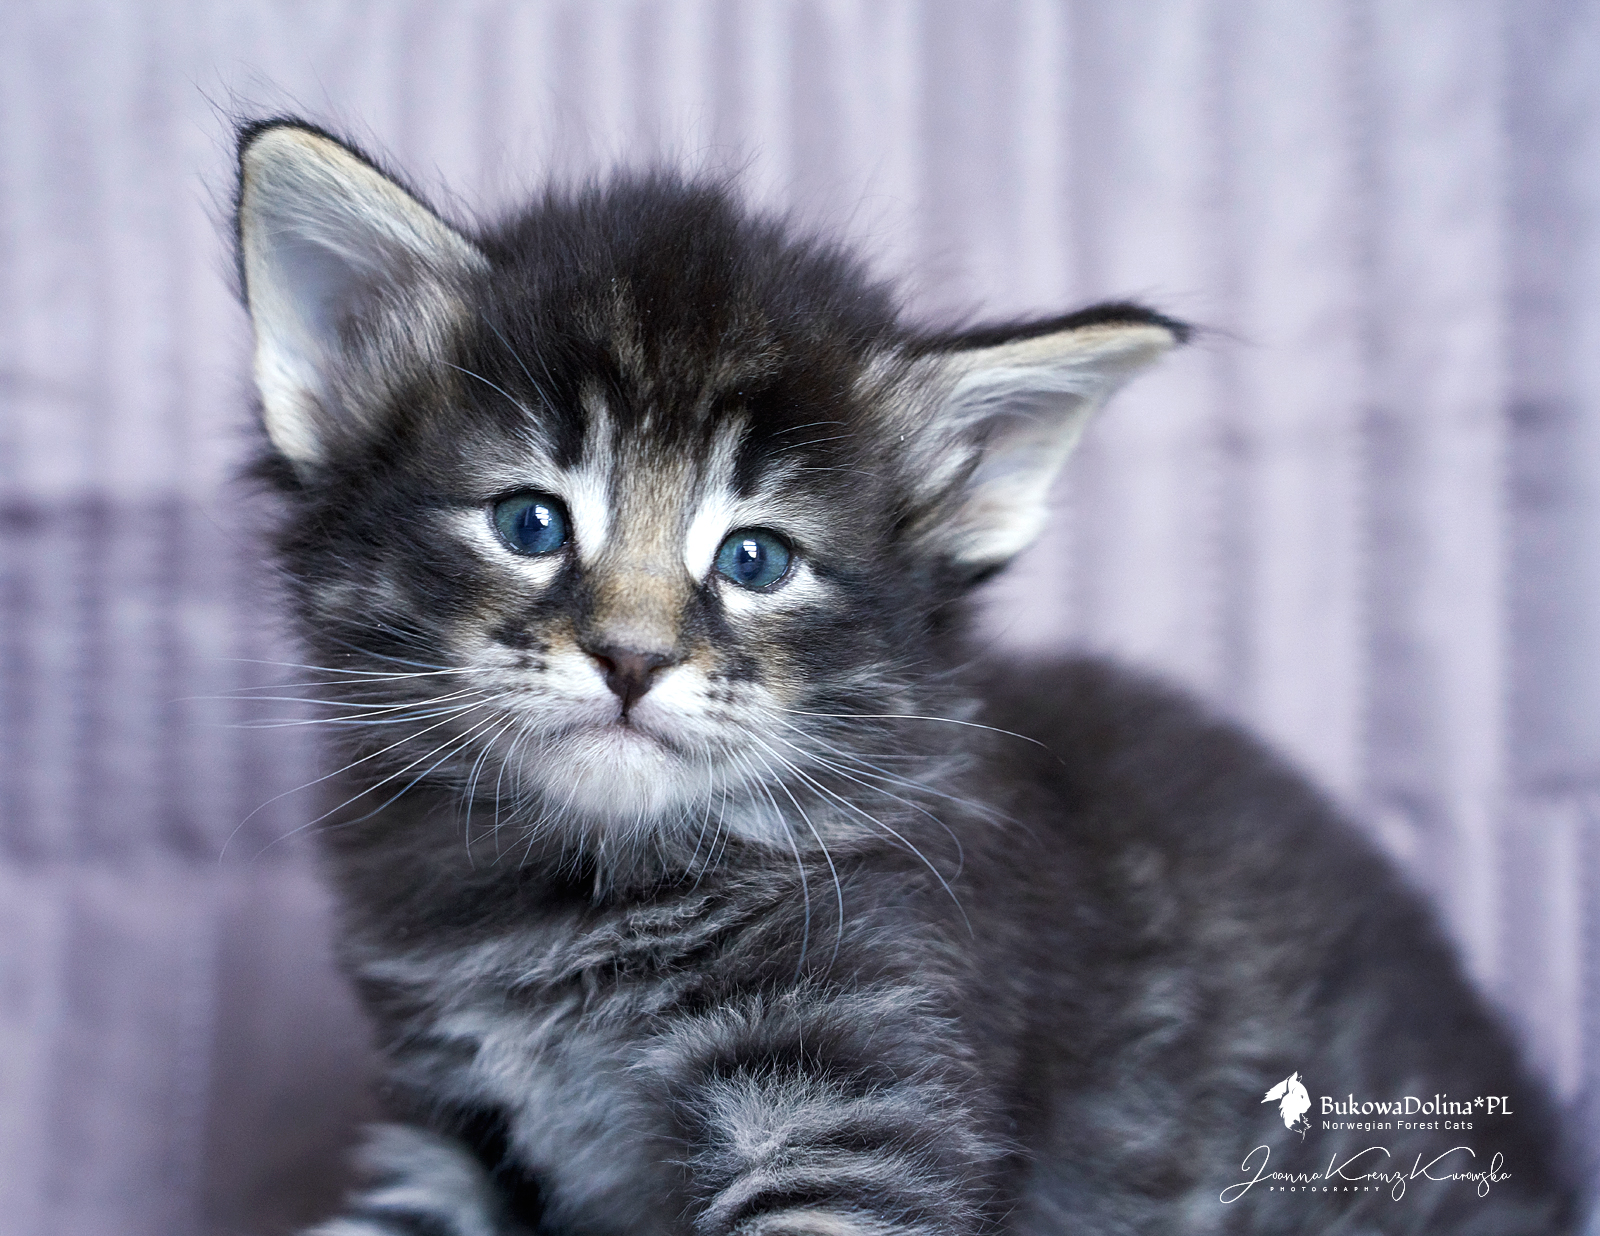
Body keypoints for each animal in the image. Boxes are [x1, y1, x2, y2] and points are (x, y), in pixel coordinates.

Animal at [235, 119, 1580, 1235]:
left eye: (755, 559)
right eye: (530, 523)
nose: (631, 656)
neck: (576, 901)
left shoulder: (862, 1078)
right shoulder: (448, 1122)